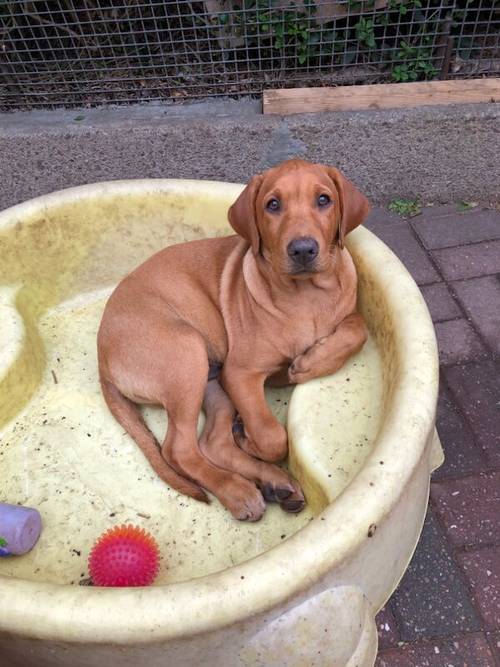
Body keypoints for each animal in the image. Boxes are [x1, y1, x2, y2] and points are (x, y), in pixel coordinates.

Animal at [98, 160, 372, 520]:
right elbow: (272, 436)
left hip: (211, 378)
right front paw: (252, 438)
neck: (307, 295)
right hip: (187, 353)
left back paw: (275, 482)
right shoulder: (241, 373)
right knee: (179, 449)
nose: (302, 249)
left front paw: (312, 363)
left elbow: (359, 327)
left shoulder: (344, 314)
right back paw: (238, 490)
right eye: (273, 205)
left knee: (211, 442)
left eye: (324, 200)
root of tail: (102, 359)